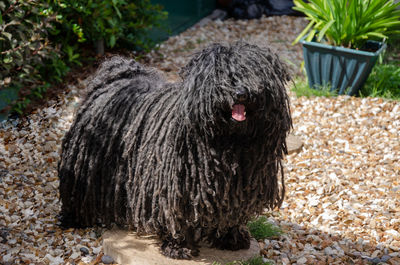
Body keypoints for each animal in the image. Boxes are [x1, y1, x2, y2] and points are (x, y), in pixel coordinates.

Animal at [58, 41, 290, 258]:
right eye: (221, 74)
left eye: (252, 72)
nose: (241, 92)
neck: (229, 141)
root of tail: (114, 77)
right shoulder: (176, 188)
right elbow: (177, 216)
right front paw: (179, 247)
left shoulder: (238, 188)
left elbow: (232, 213)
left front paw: (231, 237)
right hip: (86, 161)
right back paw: (73, 218)